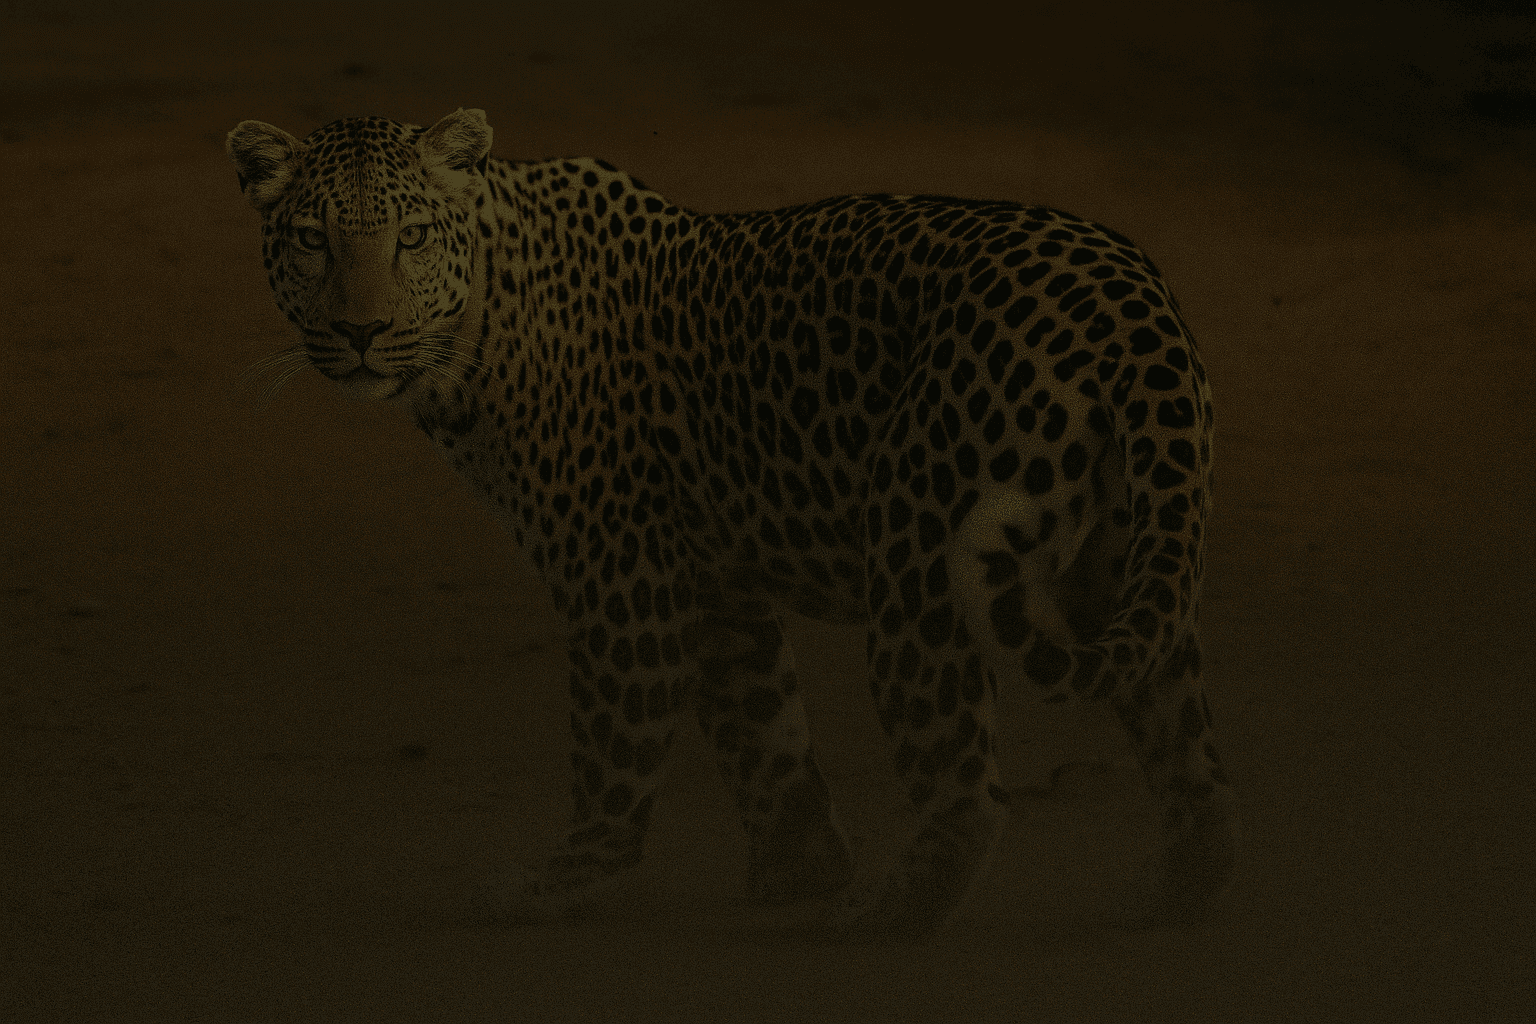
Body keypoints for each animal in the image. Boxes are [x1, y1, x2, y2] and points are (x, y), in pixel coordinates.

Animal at [226, 107, 1236, 939]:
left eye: (411, 237)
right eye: (313, 241)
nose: (360, 333)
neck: (478, 321)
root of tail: (1130, 297)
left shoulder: (617, 575)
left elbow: (616, 744)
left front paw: (560, 884)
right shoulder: (712, 577)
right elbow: (762, 723)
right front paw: (800, 866)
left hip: (918, 554)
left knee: (967, 786)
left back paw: (884, 916)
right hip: (1128, 548)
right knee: (1183, 735)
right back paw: (1180, 894)